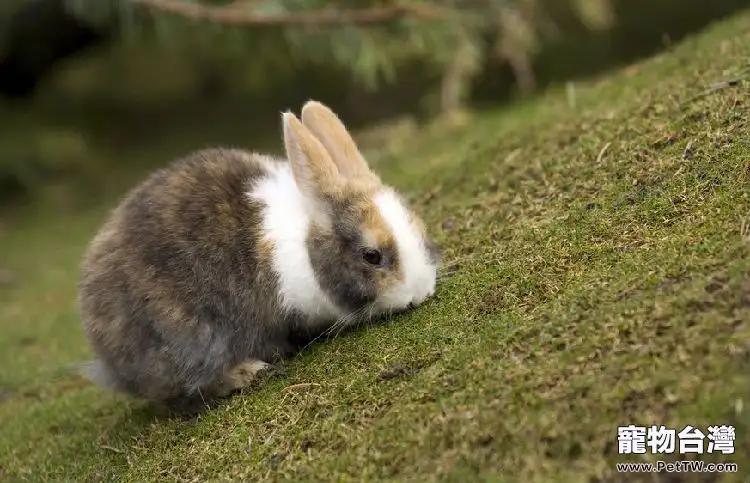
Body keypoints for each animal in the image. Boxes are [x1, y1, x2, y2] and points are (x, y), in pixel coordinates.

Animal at [76, 100, 440, 414]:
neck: (307, 246)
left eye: (419, 226)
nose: (419, 292)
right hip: (187, 340)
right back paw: (247, 372)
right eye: (371, 255)